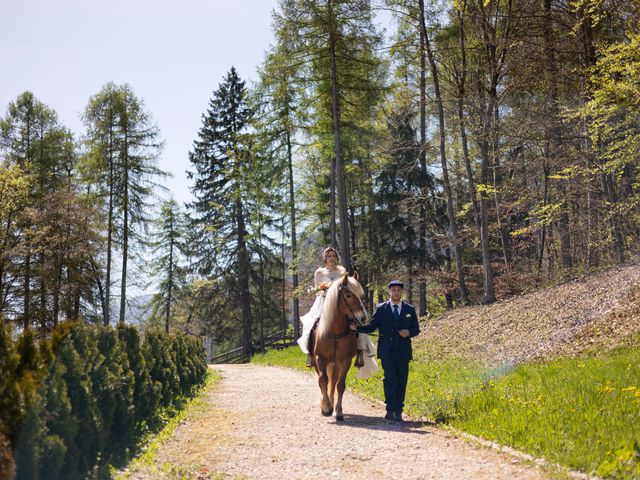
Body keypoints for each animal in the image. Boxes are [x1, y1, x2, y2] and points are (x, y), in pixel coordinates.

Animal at [312, 272, 368, 422]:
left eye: (361, 295)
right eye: (348, 295)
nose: (363, 318)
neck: (335, 332)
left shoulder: (345, 361)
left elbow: (340, 385)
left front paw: (338, 411)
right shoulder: (320, 358)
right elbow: (323, 380)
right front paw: (325, 407)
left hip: (335, 364)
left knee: (333, 382)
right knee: (323, 380)